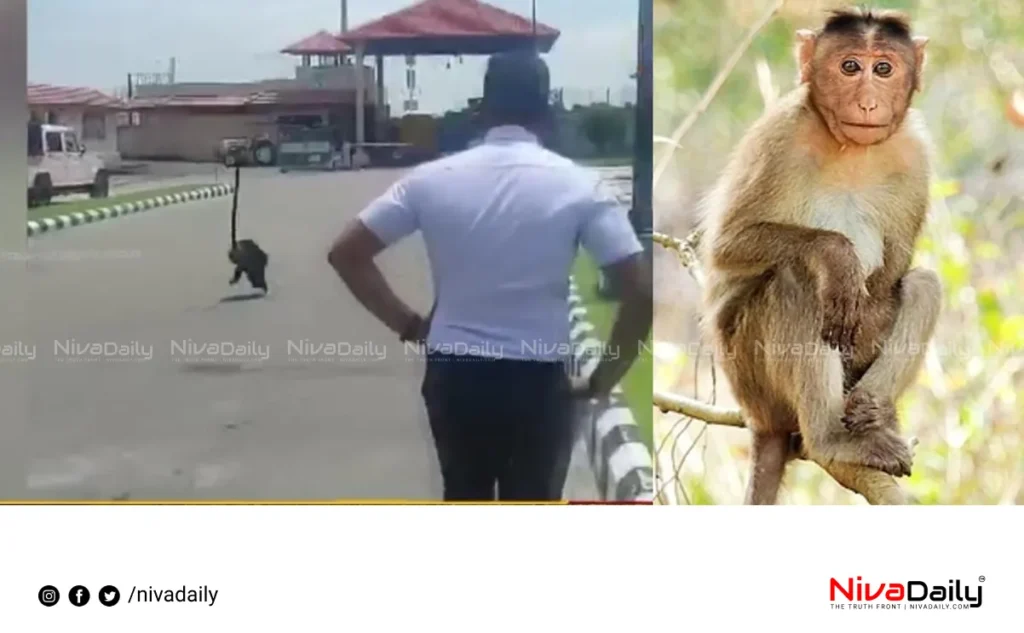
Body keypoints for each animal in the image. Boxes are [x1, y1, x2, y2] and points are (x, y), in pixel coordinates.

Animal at [704, 7, 942, 501]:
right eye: (849, 67)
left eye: (883, 68)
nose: (868, 102)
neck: (850, 148)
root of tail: (761, 422)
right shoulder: (780, 135)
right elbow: (726, 247)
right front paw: (837, 255)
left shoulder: (915, 153)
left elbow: (893, 275)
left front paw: (877, 410)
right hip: (752, 377)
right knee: (796, 281)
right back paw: (831, 438)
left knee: (923, 284)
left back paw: (872, 413)